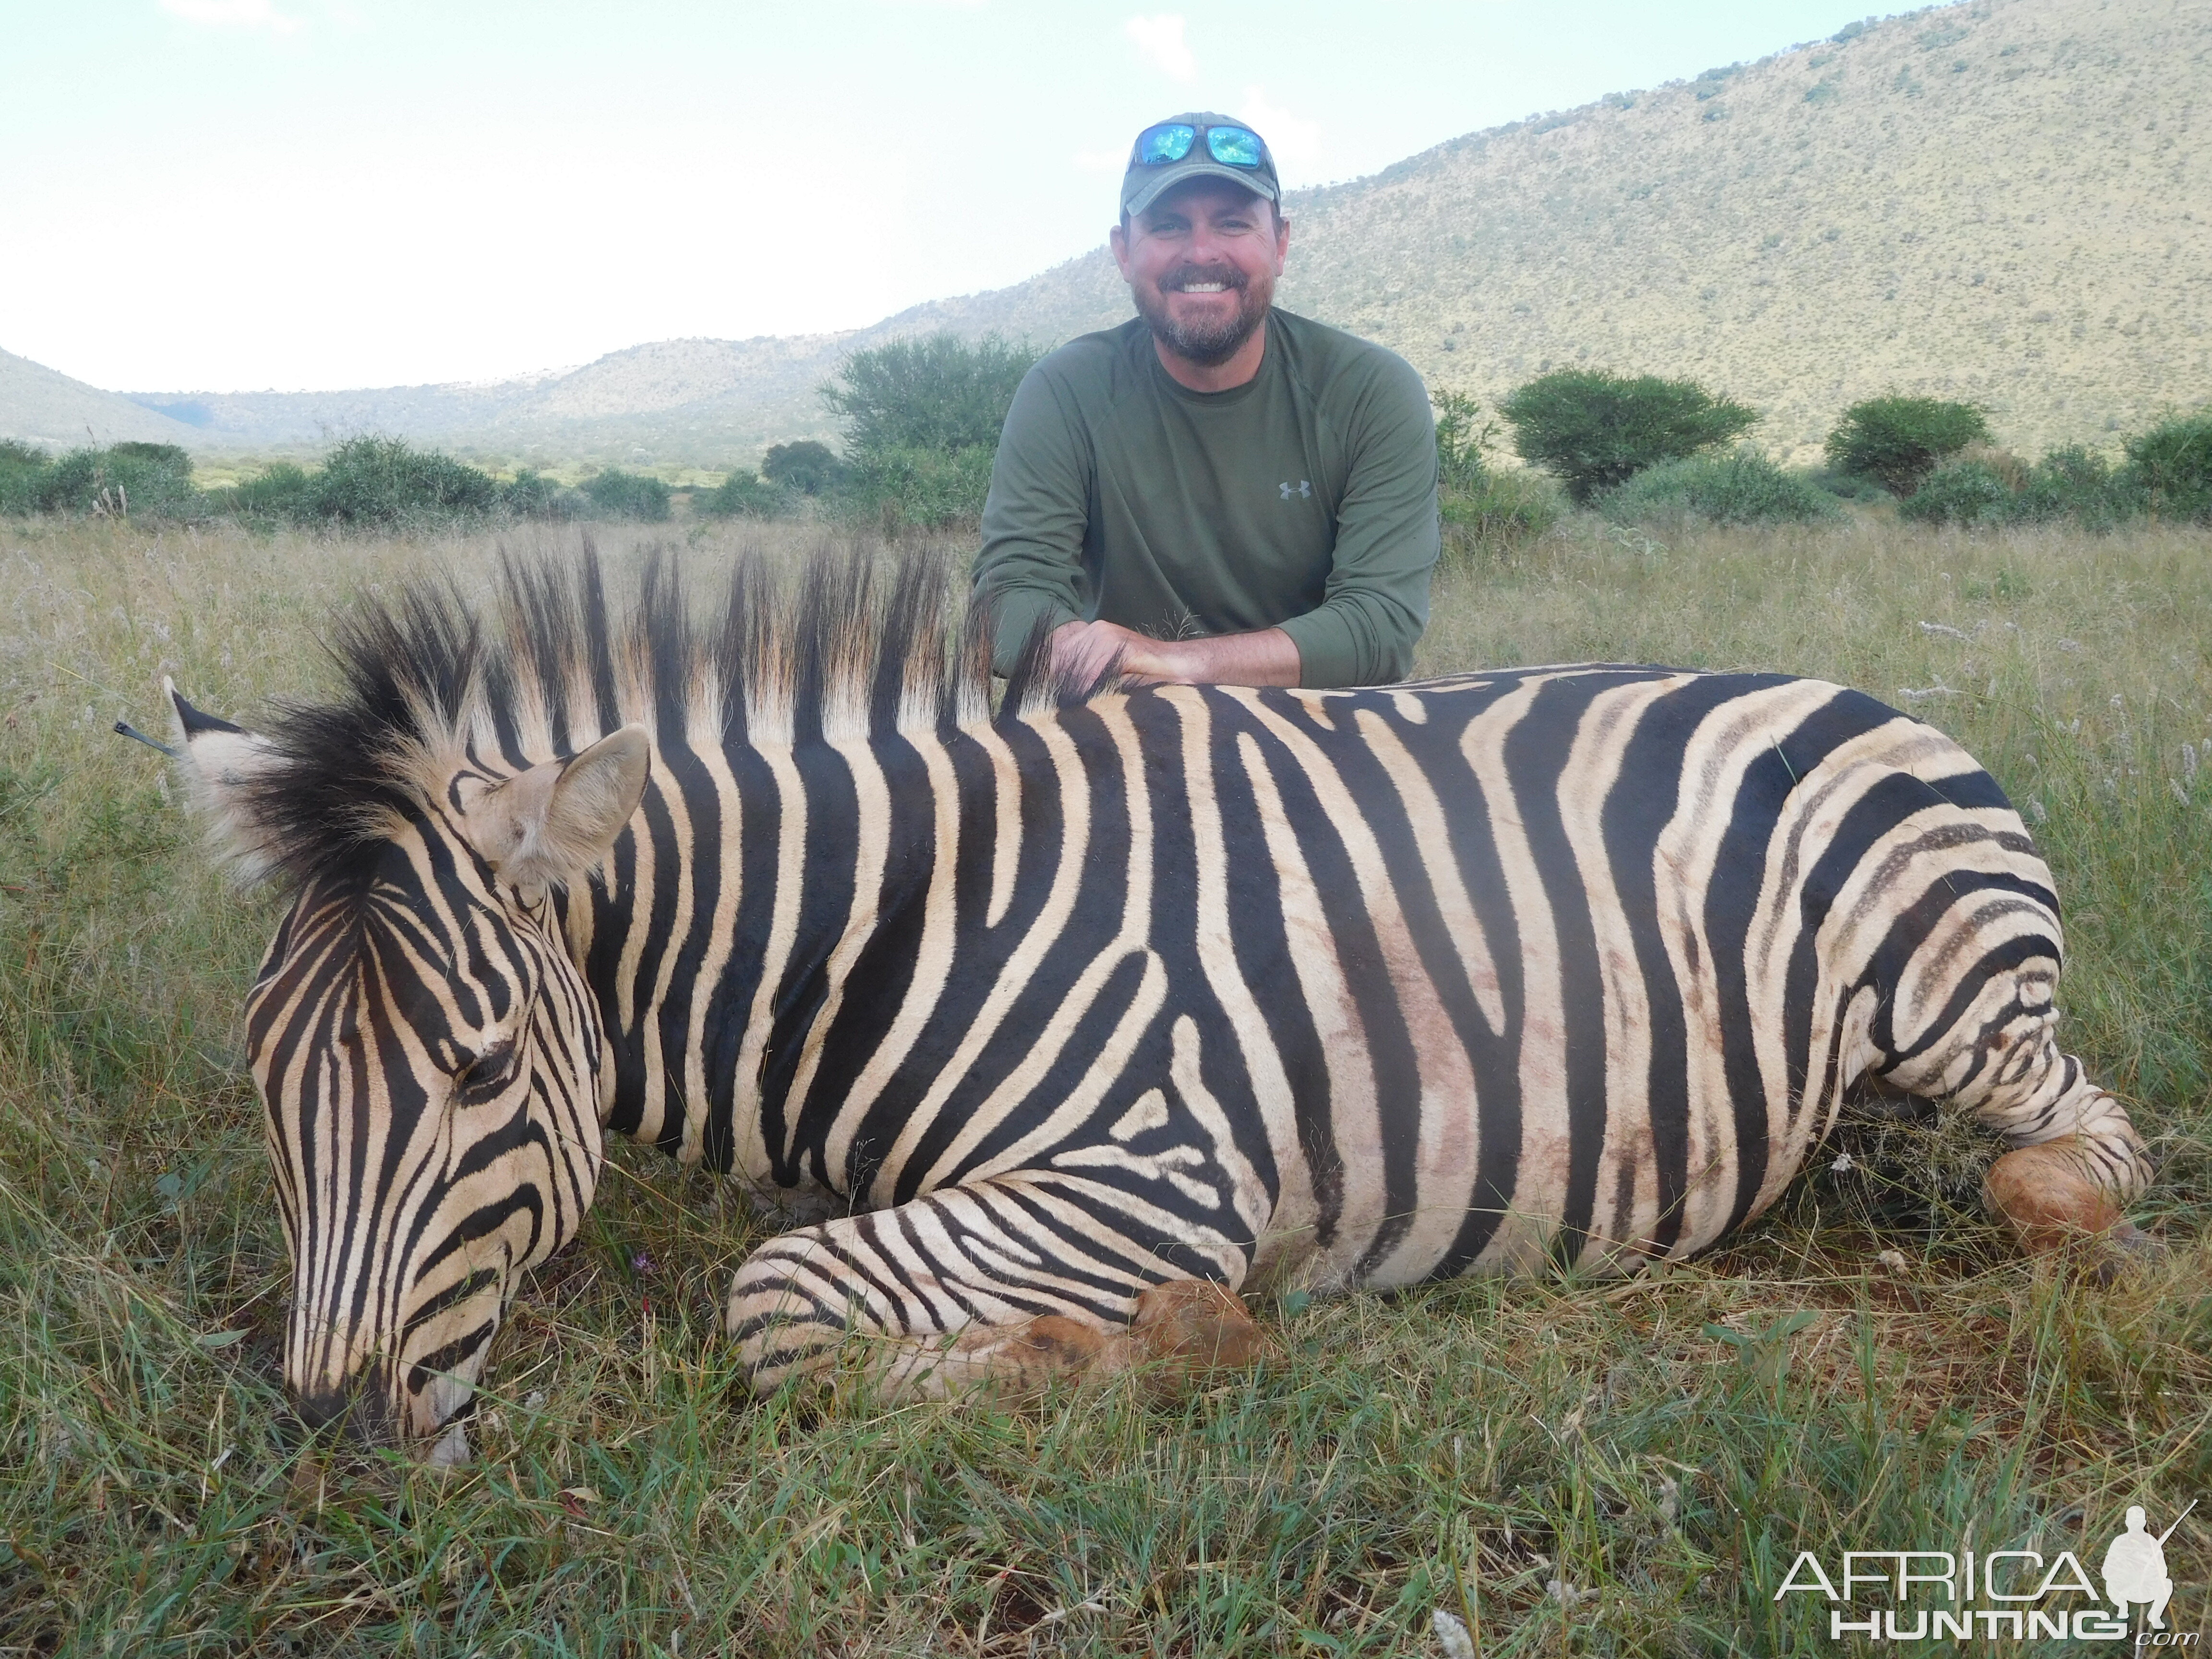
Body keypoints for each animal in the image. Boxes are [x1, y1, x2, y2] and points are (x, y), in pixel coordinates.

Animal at [163, 546, 2150, 1442]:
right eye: (264, 1081)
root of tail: (1866, 693)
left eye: (480, 1071)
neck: (902, 922)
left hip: (1952, 1006)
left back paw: (2022, 1198)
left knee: (2080, 1135)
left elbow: (777, 1299)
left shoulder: (1158, 1169)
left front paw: (1150, 1345)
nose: (325, 1427)